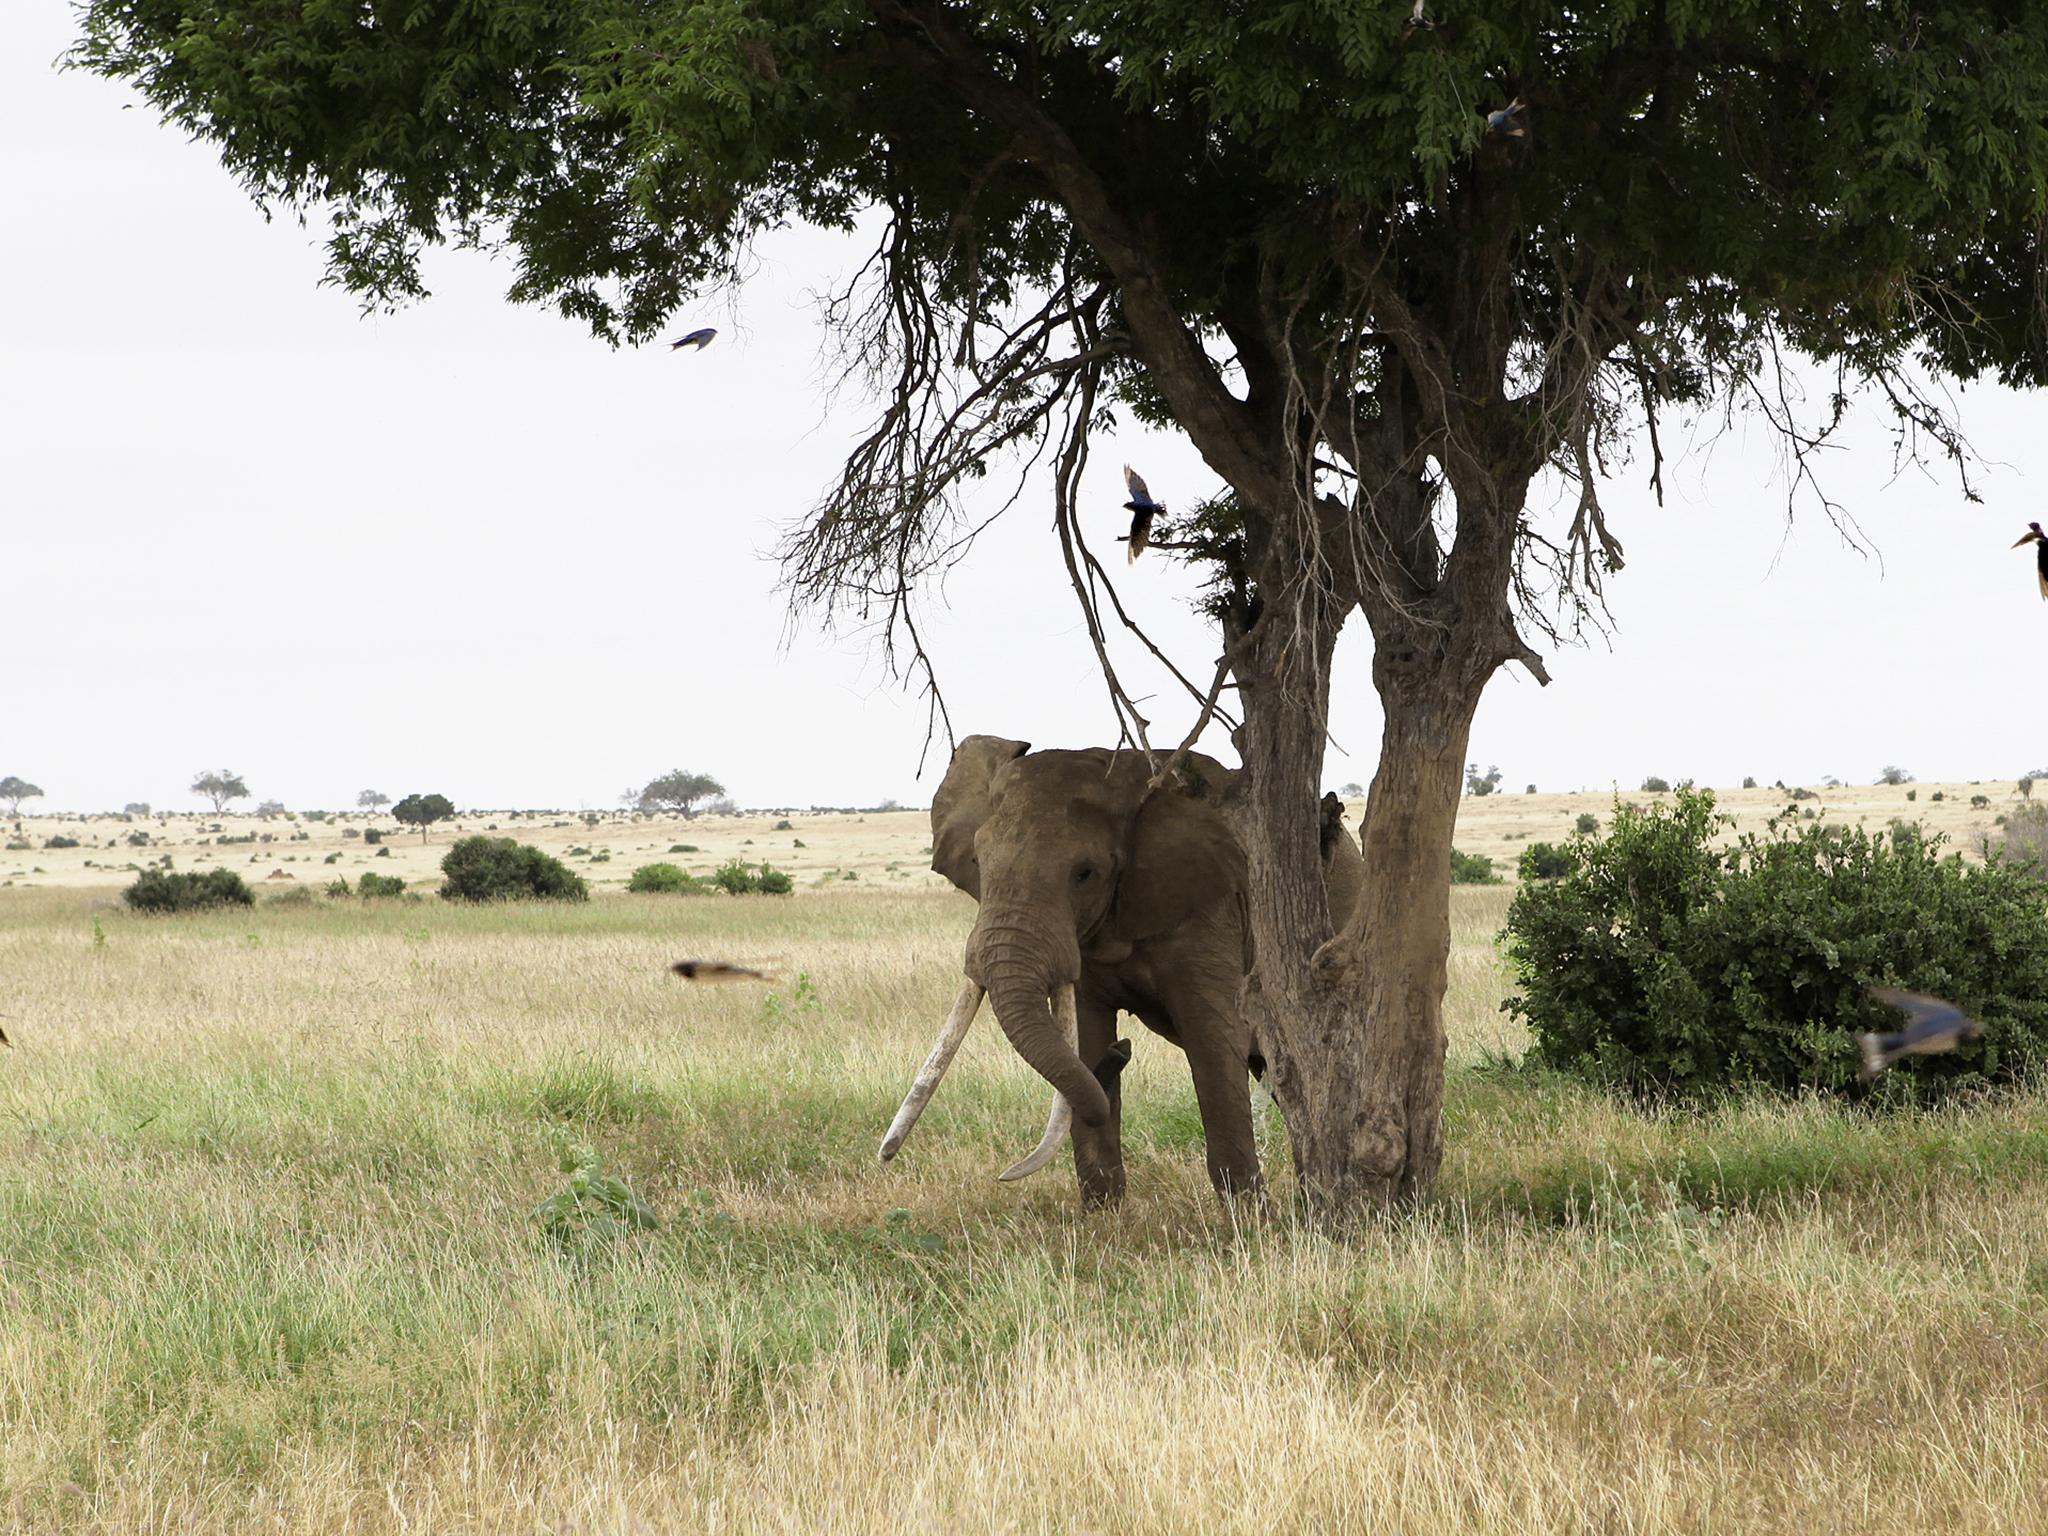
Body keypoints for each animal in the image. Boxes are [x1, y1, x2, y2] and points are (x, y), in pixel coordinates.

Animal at [876, 741, 1359, 1212]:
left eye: (1084, 873)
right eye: (977, 861)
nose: (1123, 1049)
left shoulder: (1208, 907)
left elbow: (1214, 1040)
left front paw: (1248, 1219)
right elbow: (1085, 1037)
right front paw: (1103, 1216)